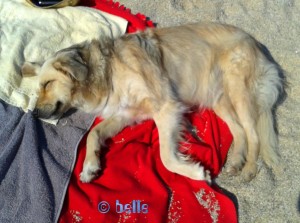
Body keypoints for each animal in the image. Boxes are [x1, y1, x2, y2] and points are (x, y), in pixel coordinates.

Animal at [22, 22, 284, 183]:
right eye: (38, 88)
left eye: (47, 84)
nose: (33, 114)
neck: (107, 71)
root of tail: (256, 44)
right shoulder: (126, 113)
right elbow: (93, 133)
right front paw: (89, 167)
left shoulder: (166, 108)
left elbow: (166, 158)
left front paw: (196, 173)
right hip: (218, 98)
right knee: (239, 130)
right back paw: (236, 161)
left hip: (238, 90)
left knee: (253, 133)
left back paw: (249, 169)